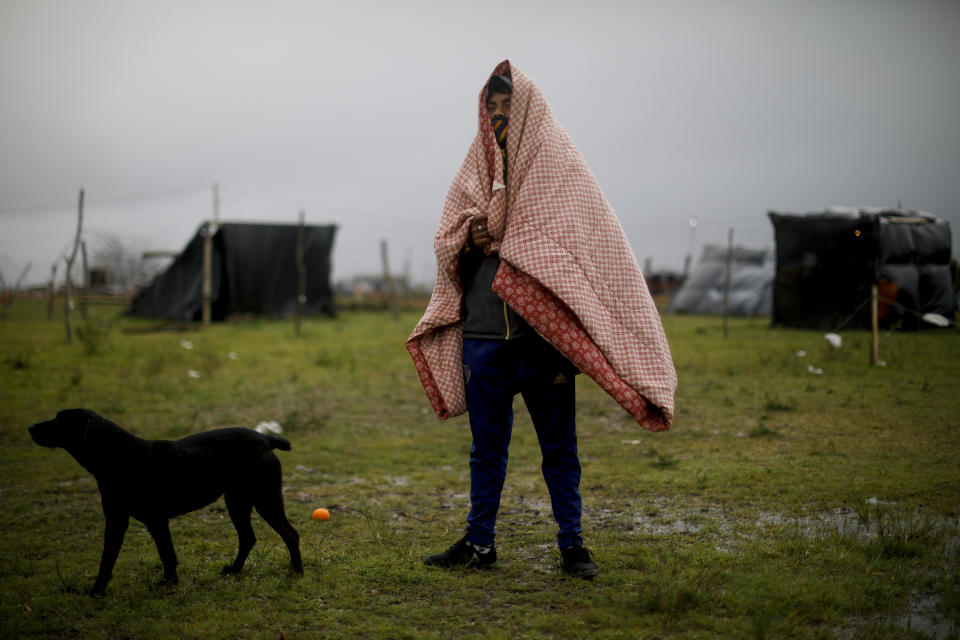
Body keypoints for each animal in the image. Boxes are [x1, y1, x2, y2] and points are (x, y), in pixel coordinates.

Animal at [30, 410, 302, 596]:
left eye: (60, 421)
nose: (31, 427)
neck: (119, 455)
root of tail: (266, 439)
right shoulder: (117, 520)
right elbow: (109, 558)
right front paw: (97, 590)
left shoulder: (155, 519)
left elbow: (166, 554)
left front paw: (168, 583)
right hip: (237, 501)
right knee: (248, 538)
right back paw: (234, 570)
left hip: (265, 500)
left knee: (290, 534)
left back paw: (297, 573)